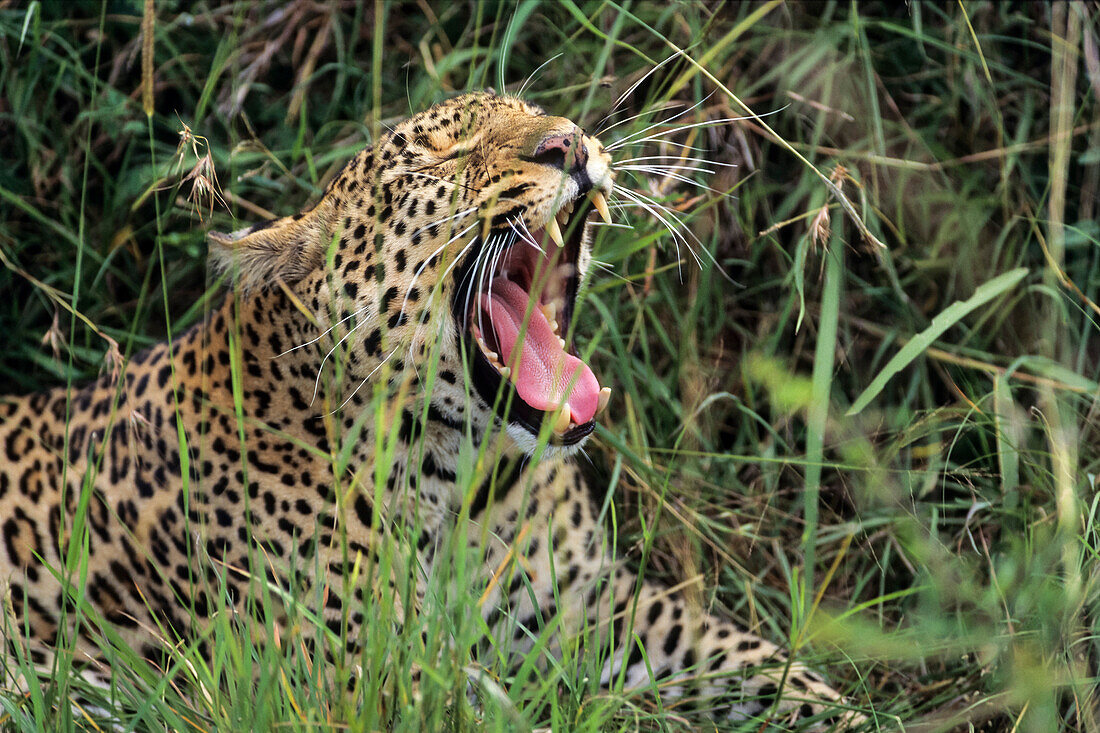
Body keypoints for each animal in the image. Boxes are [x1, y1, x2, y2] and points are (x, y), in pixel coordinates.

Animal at [2, 91, 866, 726]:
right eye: (442, 157)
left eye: (537, 112)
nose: (570, 144)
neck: (466, 478)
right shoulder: (350, 674)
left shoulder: (592, 598)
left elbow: (746, 657)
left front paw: (849, 711)